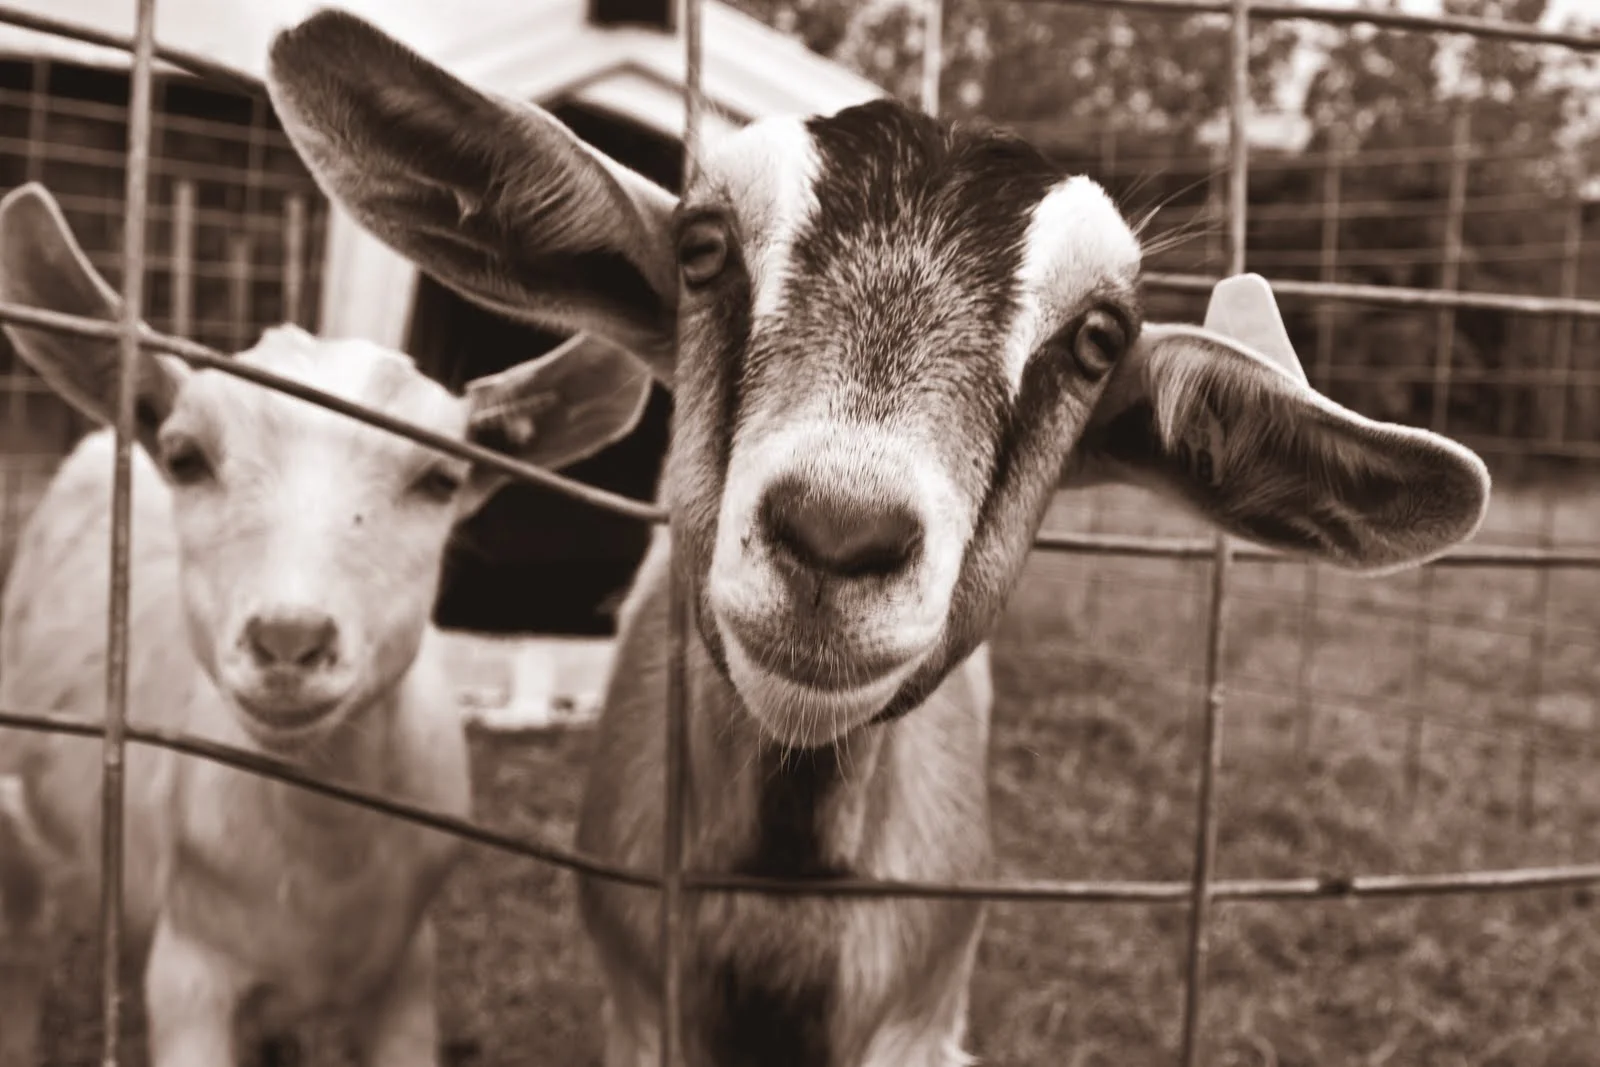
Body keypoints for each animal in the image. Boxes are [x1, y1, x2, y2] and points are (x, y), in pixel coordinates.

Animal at [0, 182, 651, 1067]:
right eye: (185, 456)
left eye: (440, 477)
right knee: (24, 937)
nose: (289, 639)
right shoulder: (192, 972)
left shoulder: (407, 970)